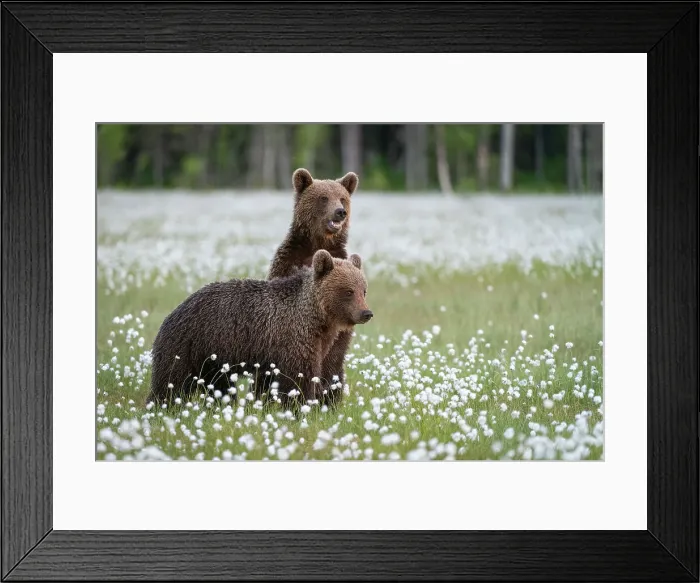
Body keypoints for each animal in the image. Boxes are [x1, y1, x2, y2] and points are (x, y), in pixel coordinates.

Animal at [146, 250, 373, 408]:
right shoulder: (293, 338)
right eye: (348, 291)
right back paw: (160, 407)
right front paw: (300, 407)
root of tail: (173, 312)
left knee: (219, 386)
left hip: (214, 360)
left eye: (363, 290)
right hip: (188, 345)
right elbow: (298, 378)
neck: (316, 318)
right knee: (171, 382)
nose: (366, 313)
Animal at [267, 168, 360, 403]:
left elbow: (338, 342)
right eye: (323, 198)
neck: (318, 244)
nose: (340, 212)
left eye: (342, 198)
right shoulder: (288, 262)